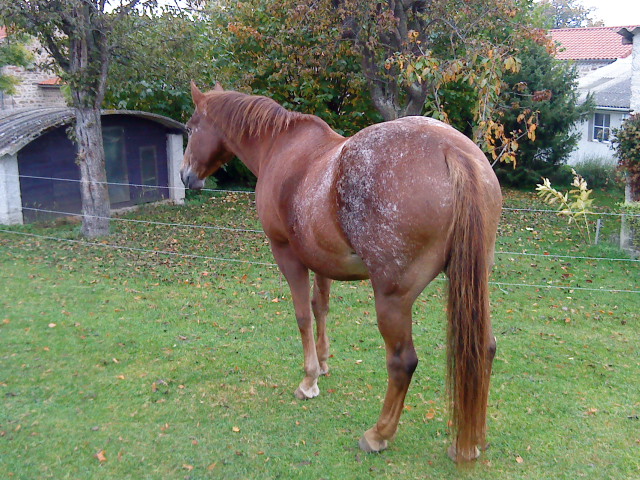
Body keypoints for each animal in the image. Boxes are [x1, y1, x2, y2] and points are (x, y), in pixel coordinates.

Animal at [181, 81, 504, 462]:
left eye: (191, 127)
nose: (185, 175)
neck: (280, 146)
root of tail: (452, 150)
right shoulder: (320, 259)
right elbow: (321, 308)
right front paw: (322, 364)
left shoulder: (287, 254)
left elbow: (303, 315)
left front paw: (308, 381)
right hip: (472, 285)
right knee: (484, 348)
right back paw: (469, 442)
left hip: (392, 299)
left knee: (402, 362)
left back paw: (378, 434)